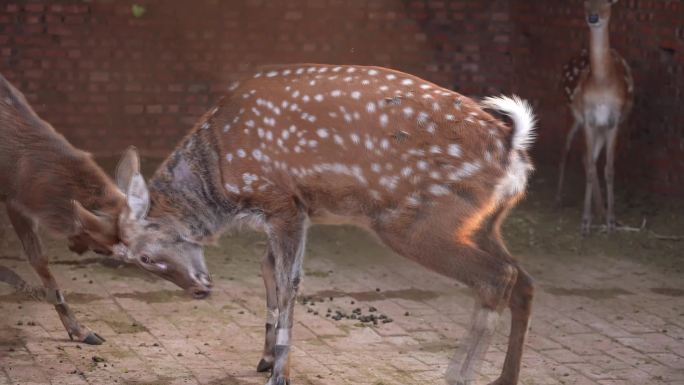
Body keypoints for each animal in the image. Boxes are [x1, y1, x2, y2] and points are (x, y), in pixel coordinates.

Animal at [112, 63, 536, 384]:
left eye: (143, 258)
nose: (199, 290)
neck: (218, 175)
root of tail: (512, 145)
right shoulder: (286, 212)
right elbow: (267, 270)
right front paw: (266, 358)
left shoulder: (283, 202)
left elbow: (289, 281)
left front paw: (279, 372)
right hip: (481, 222)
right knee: (523, 280)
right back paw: (504, 378)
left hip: (416, 221)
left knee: (497, 277)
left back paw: (458, 375)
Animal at [560, 0, 632, 234]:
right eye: (585, 3)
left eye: (608, 2)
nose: (593, 17)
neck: (602, 83)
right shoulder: (589, 118)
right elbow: (592, 168)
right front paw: (585, 223)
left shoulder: (614, 120)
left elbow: (608, 169)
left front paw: (611, 221)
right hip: (572, 114)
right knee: (569, 149)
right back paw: (559, 199)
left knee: (587, 157)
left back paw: (601, 212)